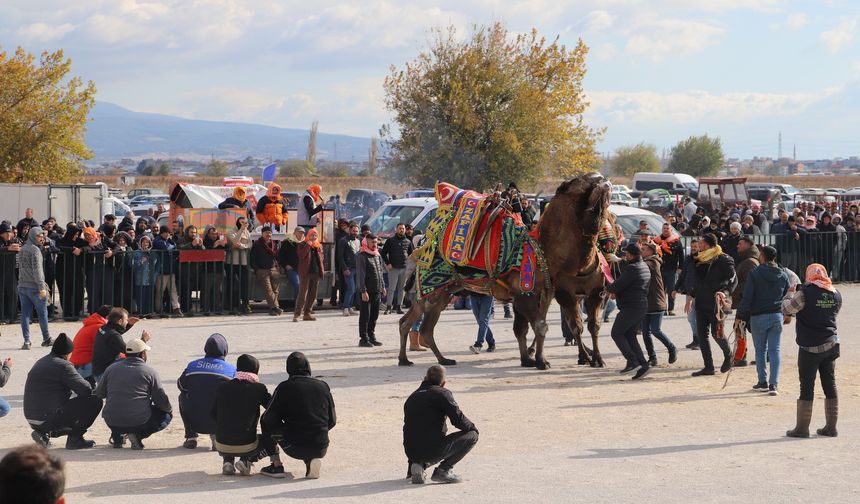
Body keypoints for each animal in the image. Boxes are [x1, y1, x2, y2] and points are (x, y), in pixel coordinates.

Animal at [396, 171, 612, 368]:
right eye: (580, 180)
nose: (603, 177)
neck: (543, 250)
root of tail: (423, 243)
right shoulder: (524, 293)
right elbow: (539, 327)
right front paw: (541, 361)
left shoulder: (544, 293)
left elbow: (526, 328)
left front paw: (529, 359)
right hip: (430, 288)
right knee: (413, 323)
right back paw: (407, 359)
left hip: (444, 292)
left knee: (422, 326)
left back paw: (440, 359)